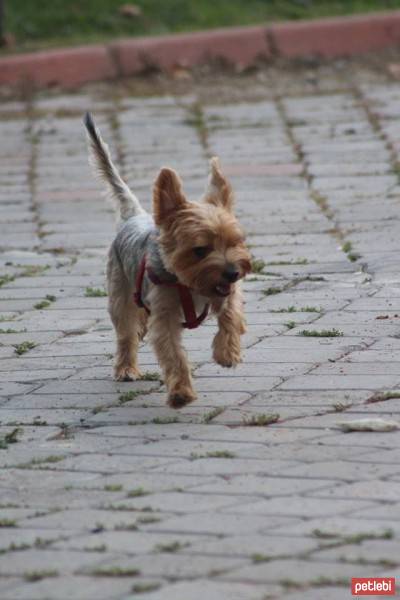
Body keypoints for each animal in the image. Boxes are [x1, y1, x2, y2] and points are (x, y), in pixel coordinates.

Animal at [84, 111, 252, 408]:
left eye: (235, 242)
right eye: (200, 250)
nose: (233, 272)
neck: (189, 283)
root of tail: (133, 216)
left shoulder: (229, 292)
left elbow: (231, 315)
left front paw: (226, 353)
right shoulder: (164, 316)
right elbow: (174, 354)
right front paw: (181, 392)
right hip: (119, 295)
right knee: (126, 333)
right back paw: (126, 368)